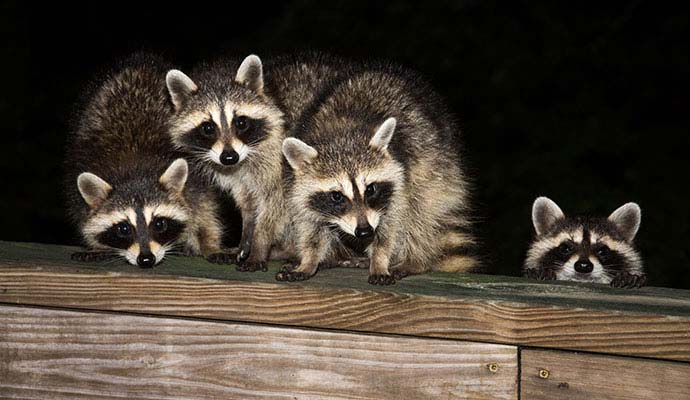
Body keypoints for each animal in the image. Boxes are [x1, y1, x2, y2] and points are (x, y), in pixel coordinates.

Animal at [65, 55, 226, 267]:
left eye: (159, 223)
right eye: (124, 229)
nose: (146, 259)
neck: (134, 168)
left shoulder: (195, 179)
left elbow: (204, 210)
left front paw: (209, 243)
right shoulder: (82, 170)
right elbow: (85, 218)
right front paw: (96, 245)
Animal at [278, 66, 478, 285]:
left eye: (371, 188)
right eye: (336, 196)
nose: (364, 231)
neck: (342, 134)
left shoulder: (401, 180)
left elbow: (390, 226)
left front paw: (380, 260)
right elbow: (311, 225)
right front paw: (309, 260)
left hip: (436, 166)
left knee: (423, 211)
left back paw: (414, 260)